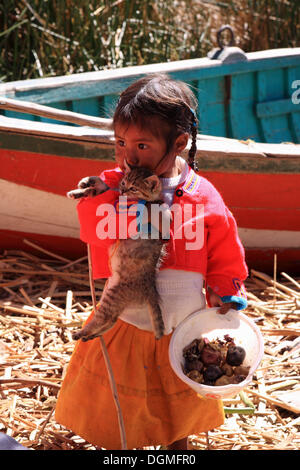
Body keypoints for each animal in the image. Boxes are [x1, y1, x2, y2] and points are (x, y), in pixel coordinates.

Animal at [68, 166, 171, 342]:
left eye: (134, 188)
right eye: (123, 182)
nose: (123, 190)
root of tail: (150, 286)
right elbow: (102, 189)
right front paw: (86, 184)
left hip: (114, 296)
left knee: (104, 317)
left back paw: (81, 332)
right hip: (114, 295)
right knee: (112, 319)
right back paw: (91, 335)